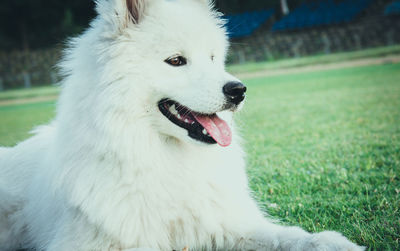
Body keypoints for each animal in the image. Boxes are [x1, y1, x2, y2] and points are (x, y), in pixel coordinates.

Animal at [0, 0, 364, 251]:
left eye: (214, 58)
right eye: (176, 61)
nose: (239, 90)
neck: (166, 159)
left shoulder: (224, 224)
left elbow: (289, 237)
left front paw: (332, 243)